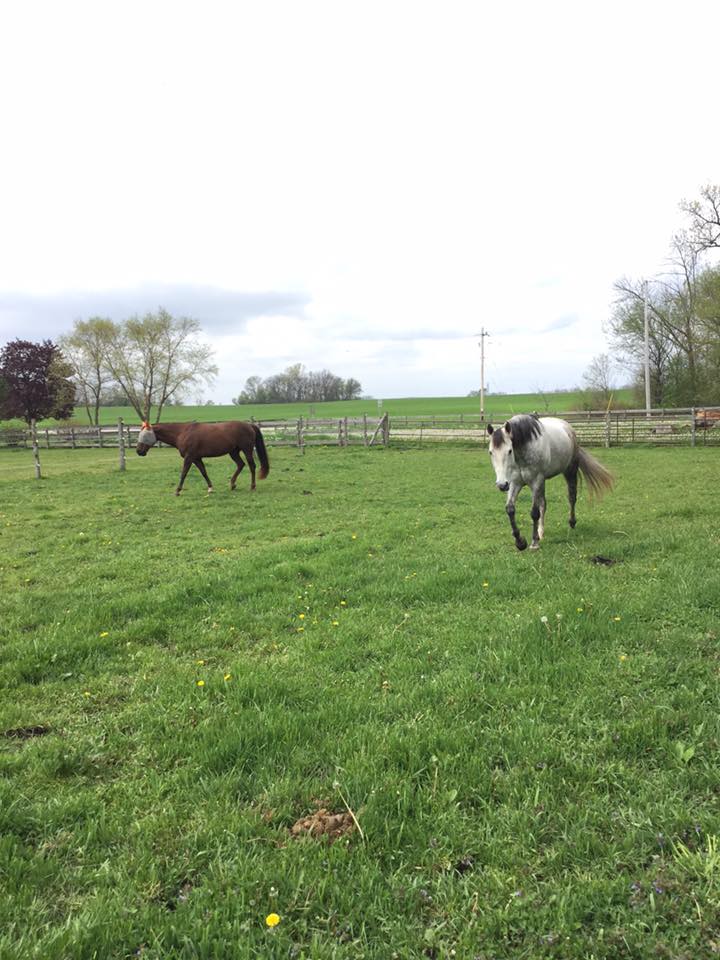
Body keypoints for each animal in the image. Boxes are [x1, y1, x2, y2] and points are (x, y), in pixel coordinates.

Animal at [136, 420, 270, 495]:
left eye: (144, 435)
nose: (138, 451)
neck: (182, 433)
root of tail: (249, 425)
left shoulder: (189, 457)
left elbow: (184, 473)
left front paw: (178, 490)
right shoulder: (196, 458)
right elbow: (204, 472)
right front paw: (210, 488)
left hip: (247, 450)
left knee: (252, 466)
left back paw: (252, 486)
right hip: (233, 452)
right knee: (241, 465)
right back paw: (232, 484)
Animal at [486, 414, 613, 551]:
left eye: (509, 451)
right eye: (491, 452)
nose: (501, 485)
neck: (522, 452)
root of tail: (568, 428)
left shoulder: (536, 481)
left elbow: (534, 512)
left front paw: (534, 543)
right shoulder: (515, 483)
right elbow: (510, 509)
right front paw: (520, 542)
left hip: (569, 471)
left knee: (572, 497)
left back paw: (572, 522)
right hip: (542, 482)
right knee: (544, 504)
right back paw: (540, 532)